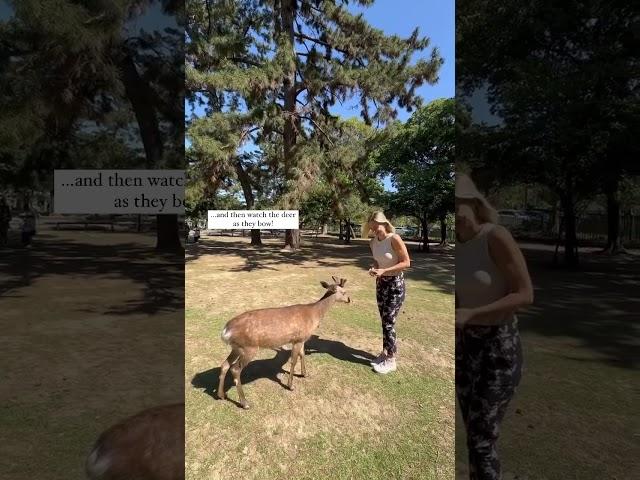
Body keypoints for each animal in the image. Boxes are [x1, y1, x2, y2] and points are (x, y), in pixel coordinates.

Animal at [219, 276, 350, 406]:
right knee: (235, 369)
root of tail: (225, 332)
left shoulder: (302, 339)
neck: (314, 315)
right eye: (344, 292)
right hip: (249, 347)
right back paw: (245, 403)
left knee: (225, 365)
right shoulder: (298, 340)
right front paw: (290, 386)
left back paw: (221, 395)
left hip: (236, 348)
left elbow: (302, 355)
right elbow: (293, 361)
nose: (349, 299)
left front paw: (304, 374)